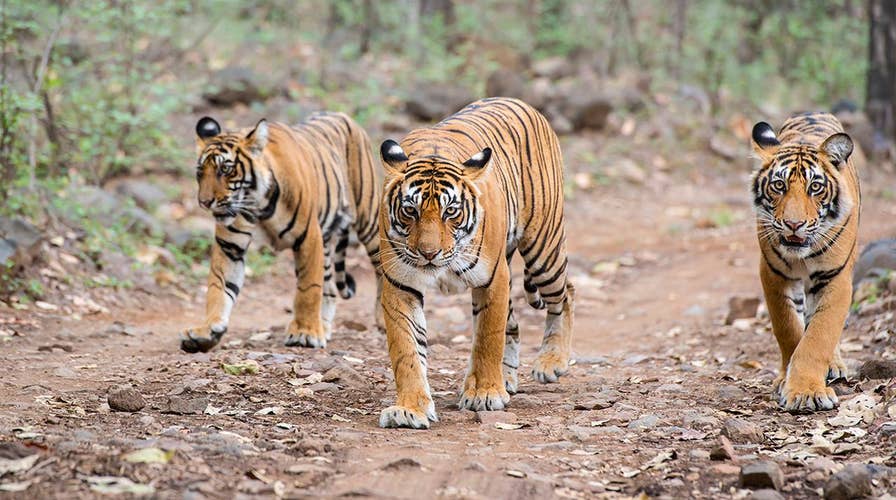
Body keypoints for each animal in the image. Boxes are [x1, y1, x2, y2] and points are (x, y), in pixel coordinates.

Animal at [180, 112, 382, 353]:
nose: (204, 202)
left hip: (369, 220)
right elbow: (218, 286)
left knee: (382, 269)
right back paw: (323, 327)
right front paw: (207, 331)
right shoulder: (230, 246)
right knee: (330, 286)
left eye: (225, 170)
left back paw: (381, 320)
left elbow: (308, 289)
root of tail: (343, 115)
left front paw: (305, 333)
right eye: (200, 172)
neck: (257, 204)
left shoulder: (308, 237)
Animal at [376, 97, 575, 429]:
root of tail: (520, 102)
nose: (428, 253)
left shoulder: (492, 279)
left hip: (543, 249)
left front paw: (484, 394)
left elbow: (487, 338)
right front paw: (410, 409)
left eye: (451, 211)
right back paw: (507, 378)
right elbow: (406, 351)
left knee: (565, 293)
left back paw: (551, 362)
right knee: (514, 324)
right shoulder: (400, 284)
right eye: (410, 211)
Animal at [751, 112, 860, 412]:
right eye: (779, 185)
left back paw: (834, 365)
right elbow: (788, 328)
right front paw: (787, 382)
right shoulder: (773, 274)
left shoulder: (835, 278)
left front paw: (806, 391)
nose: (794, 224)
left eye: (815, 187)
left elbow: (819, 335)